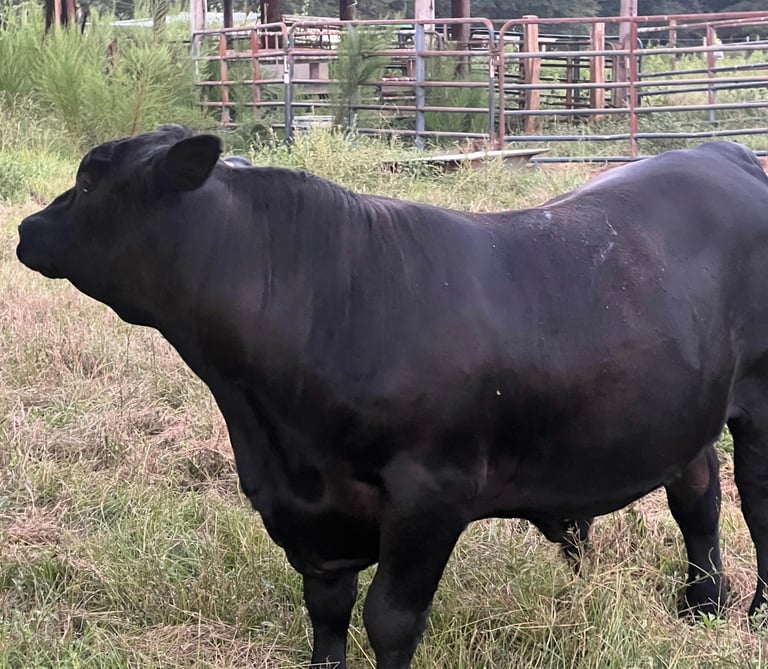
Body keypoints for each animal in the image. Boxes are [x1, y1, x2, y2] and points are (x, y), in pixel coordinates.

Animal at [16, 125, 768, 668]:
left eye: (89, 178)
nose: (25, 229)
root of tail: (721, 152)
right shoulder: (313, 516)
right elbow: (326, 610)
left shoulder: (430, 493)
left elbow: (390, 618)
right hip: (680, 408)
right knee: (698, 498)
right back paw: (702, 606)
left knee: (755, 506)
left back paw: (754, 613)